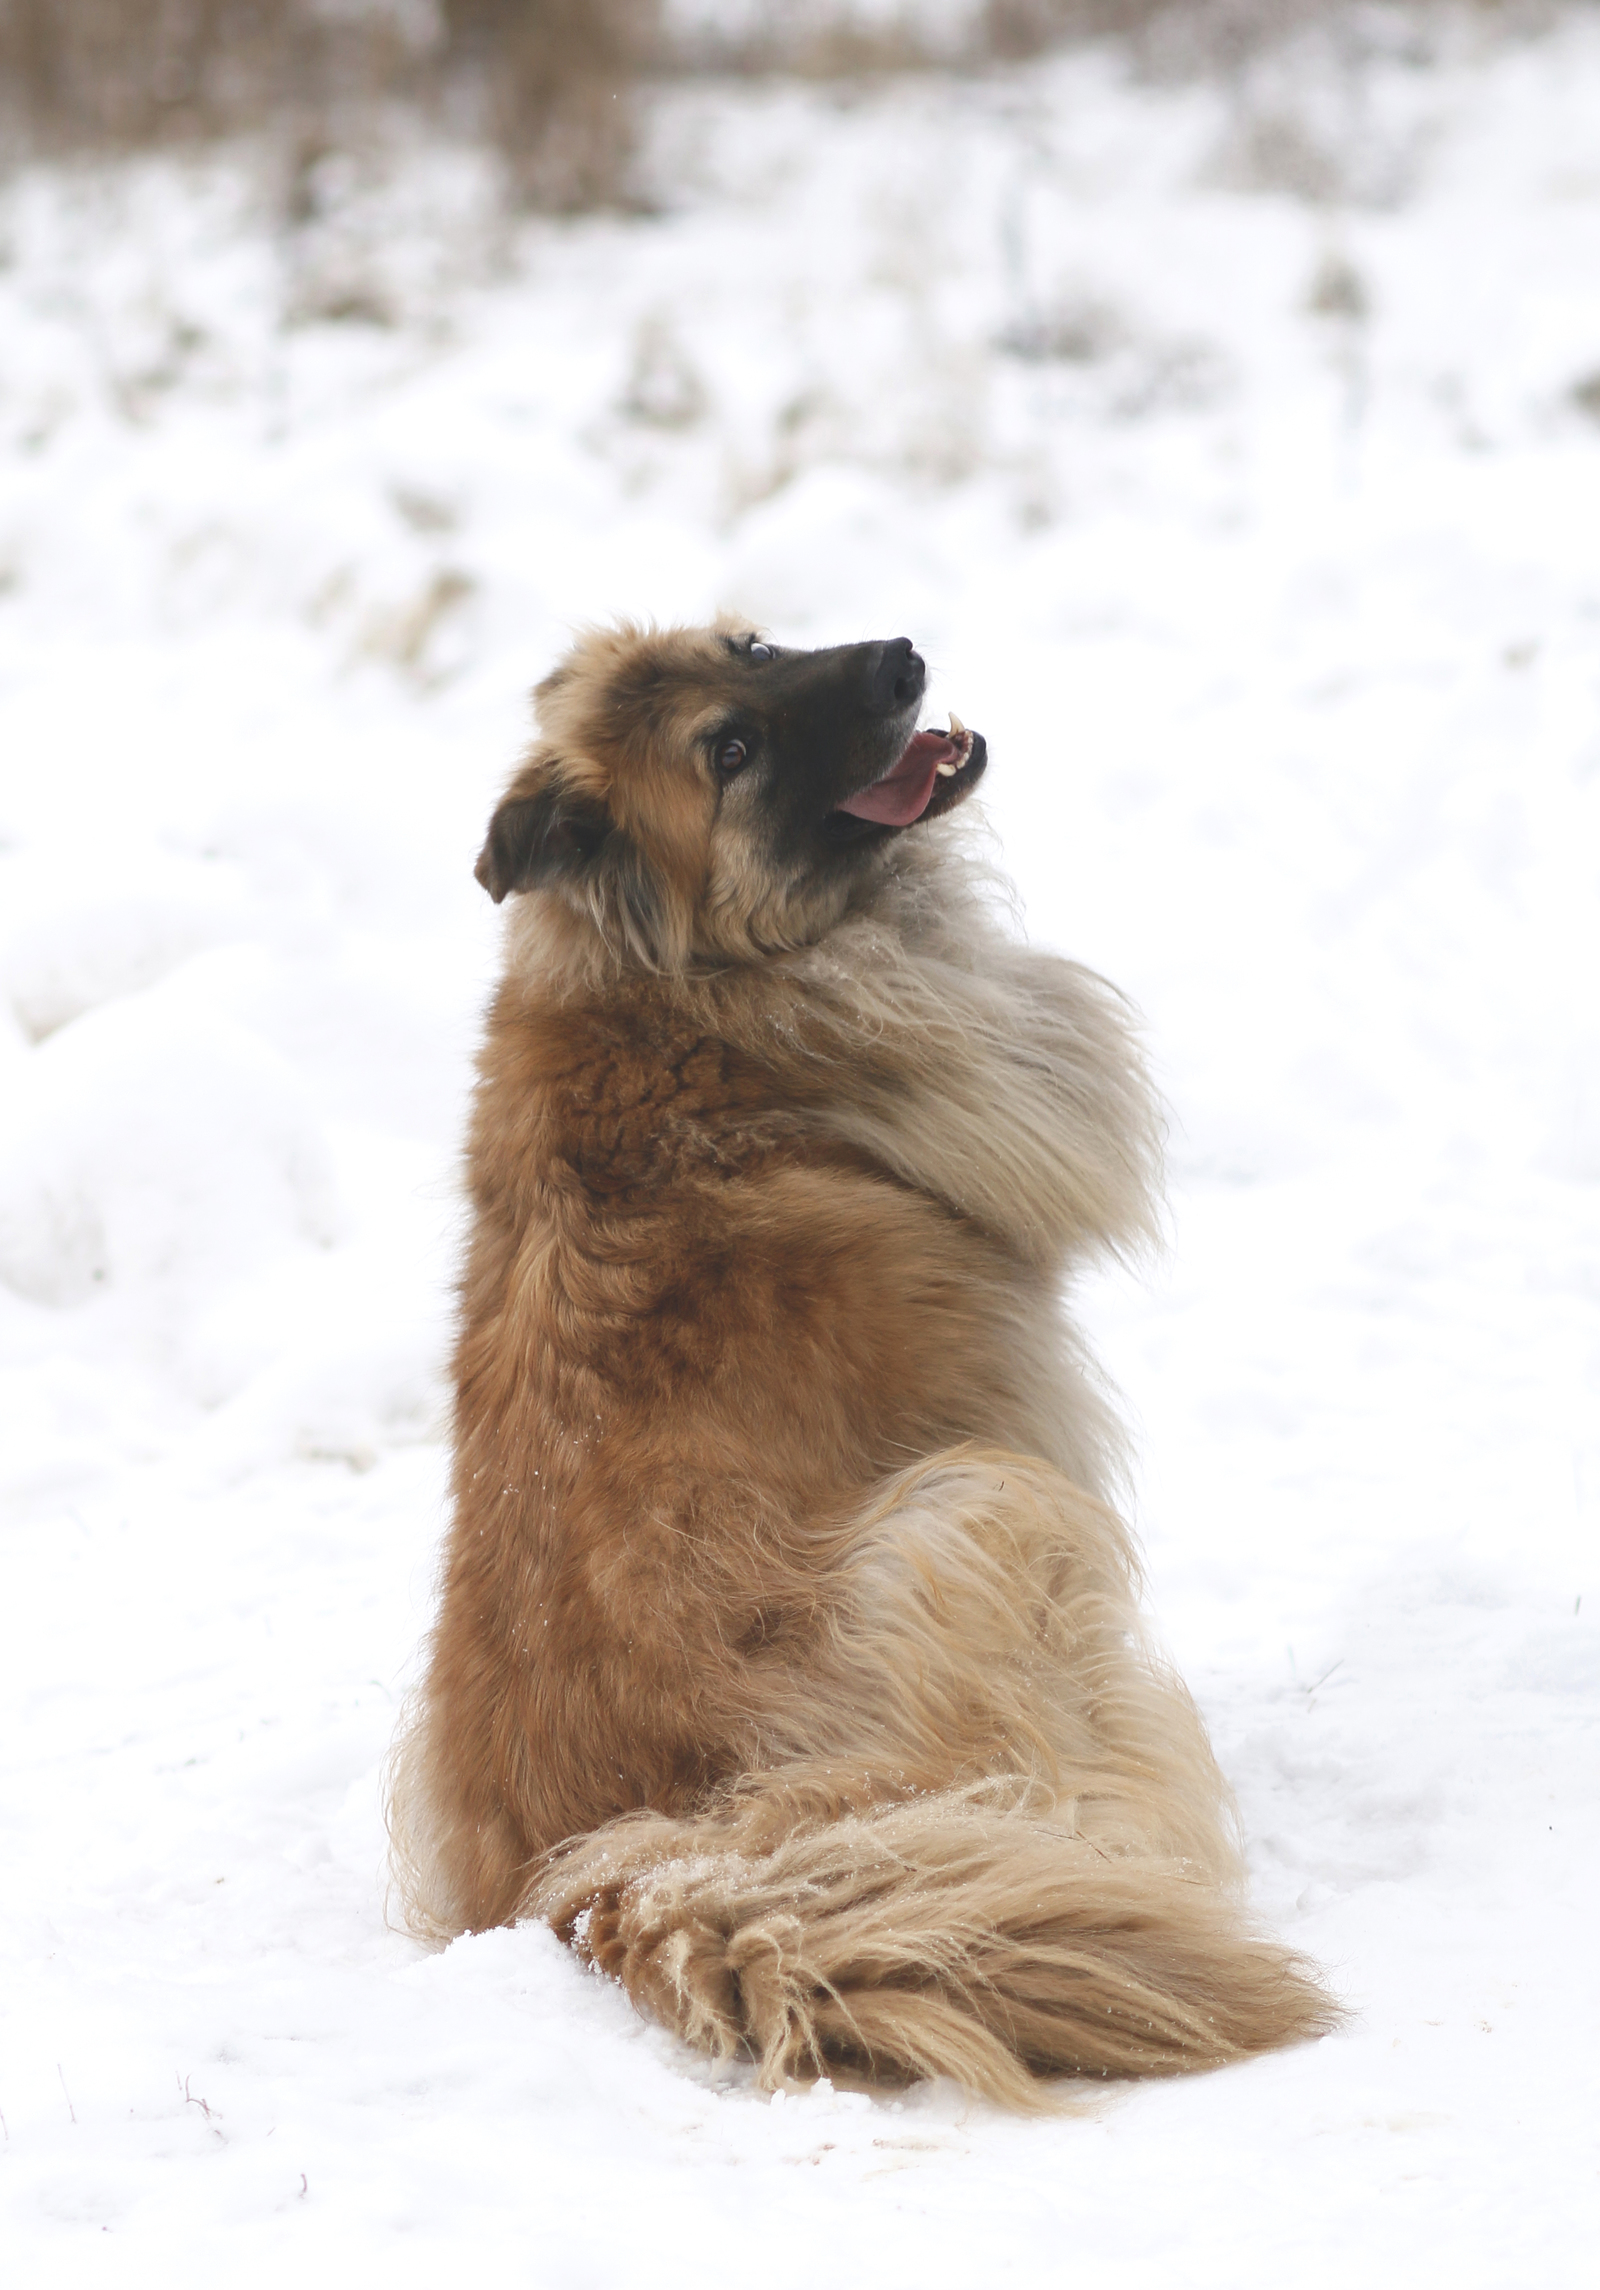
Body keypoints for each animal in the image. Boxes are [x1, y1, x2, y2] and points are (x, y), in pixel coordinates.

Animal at [391, 618, 1336, 2097]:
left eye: (753, 641)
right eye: (729, 749)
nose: (900, 659)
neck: (687, 991)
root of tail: (598, 1886)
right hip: (976, 1510)